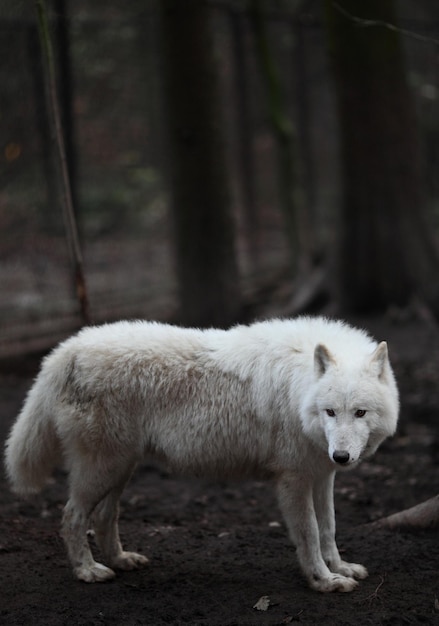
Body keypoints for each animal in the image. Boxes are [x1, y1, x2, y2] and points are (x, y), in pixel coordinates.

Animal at [6, 316, 398, 588]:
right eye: (330, 412)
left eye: (359, 413)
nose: (342, 457)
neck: (298, 389)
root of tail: (67, 349)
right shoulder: (294, 479)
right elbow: (311, 534)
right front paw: (324, 581)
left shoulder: (321, 474)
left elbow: (329, 528)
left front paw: (340, 568)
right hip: (103, 469)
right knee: (72, 516)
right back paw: (87, 571)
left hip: (120, 468)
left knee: (105, 515)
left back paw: (119, 560)